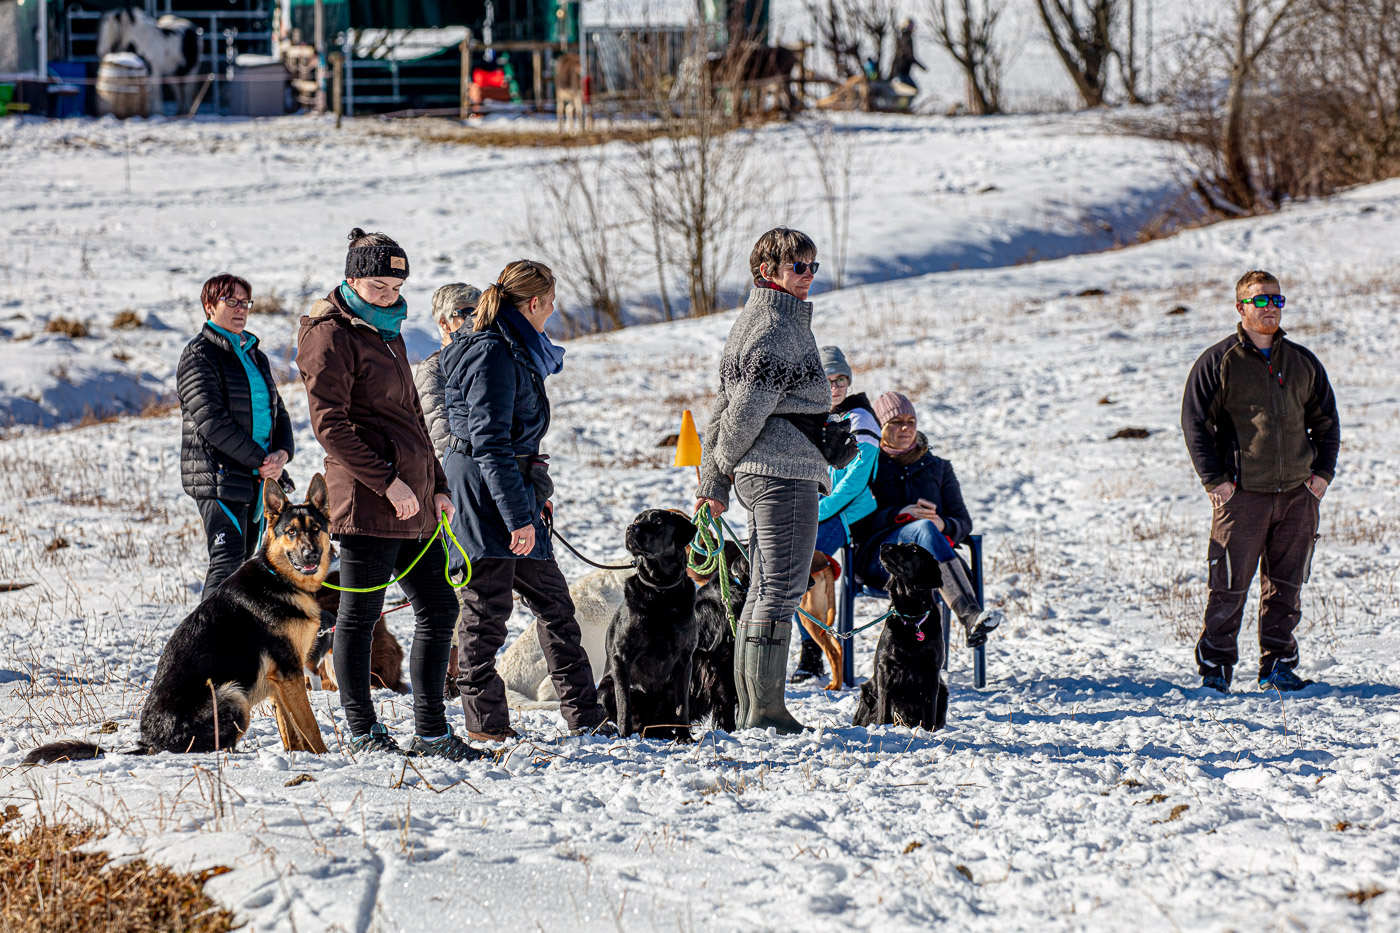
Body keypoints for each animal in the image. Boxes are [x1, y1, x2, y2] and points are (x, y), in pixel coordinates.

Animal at [28, 476, 336, 762]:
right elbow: (309, 726)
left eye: (316, 529)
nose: (311, 554)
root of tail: (149, 744)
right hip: (232, 695)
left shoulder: (281, 680)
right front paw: (328, 757)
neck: (279, 579)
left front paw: (301, 756)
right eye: (291, 532)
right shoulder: (289, 674)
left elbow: (291, 730)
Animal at [599, 504, 697, 739]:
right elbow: (624, 703)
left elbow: (683, 705)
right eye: (637, 519)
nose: (630, 528)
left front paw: (684, 738)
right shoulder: (621, 657)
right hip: (605, 687)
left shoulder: (684, 659)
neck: (660, 590)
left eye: (657, 521)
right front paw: (624, 736)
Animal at [800, 549, 840, 686]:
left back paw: (836, 686)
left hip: (808, 616)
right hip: (822, 617)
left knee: (832, 652)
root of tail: (825, 562)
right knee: (838, 647)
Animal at [845, 540, 946, 728]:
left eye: (913, 549)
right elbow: (884, 709)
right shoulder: (886, 667)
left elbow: (930, 711)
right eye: (900, 543)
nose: (884, 545)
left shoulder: (932, 671)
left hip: (944, 689)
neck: (912, 616)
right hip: (867, 691)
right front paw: (882, 728)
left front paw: (928, 731)